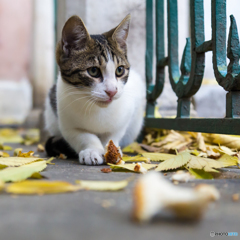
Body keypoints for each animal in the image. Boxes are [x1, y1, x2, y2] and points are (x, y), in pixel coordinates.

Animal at [44, 14, 146, 165]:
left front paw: (111, 149)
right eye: (93, 71)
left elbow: (113, 133)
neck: (97, 109)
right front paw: (92, 150)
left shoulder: (127, 112)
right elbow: (81, 135)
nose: (112, 91)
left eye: (120, 70)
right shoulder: (66, 118)